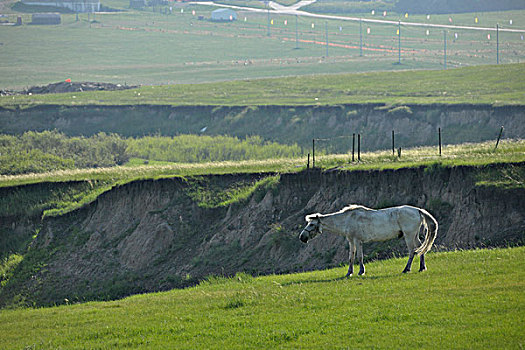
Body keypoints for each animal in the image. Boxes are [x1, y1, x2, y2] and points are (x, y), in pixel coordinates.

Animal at [298, 205, 438, 276]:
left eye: (311, 224)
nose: (302, 237)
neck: (348, 219)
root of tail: (417, 210)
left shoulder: (358, 241)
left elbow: (359, 257)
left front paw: (361, 271)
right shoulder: (351, 241)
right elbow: (351, 257)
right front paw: (349, 273)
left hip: (409, 236)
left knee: (412, 251)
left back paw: (406, 269)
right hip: (414, 235)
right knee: (420, 249)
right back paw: (422, 267)